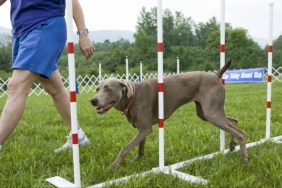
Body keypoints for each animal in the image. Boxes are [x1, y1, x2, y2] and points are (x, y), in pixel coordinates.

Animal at [90, 59, 249, 169]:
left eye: (108, 88)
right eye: (97, 89)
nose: (93, 100)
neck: (132, 97)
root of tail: (216, 75)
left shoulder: (145, 128)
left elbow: (125, 148)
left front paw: (114, 166)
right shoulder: (142, 128)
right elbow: (140, 148)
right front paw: (136, 161)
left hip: (211, 113)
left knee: (241, 133)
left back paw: (244, 159)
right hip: (205, 112)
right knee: (234, 122)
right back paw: (232, 145)